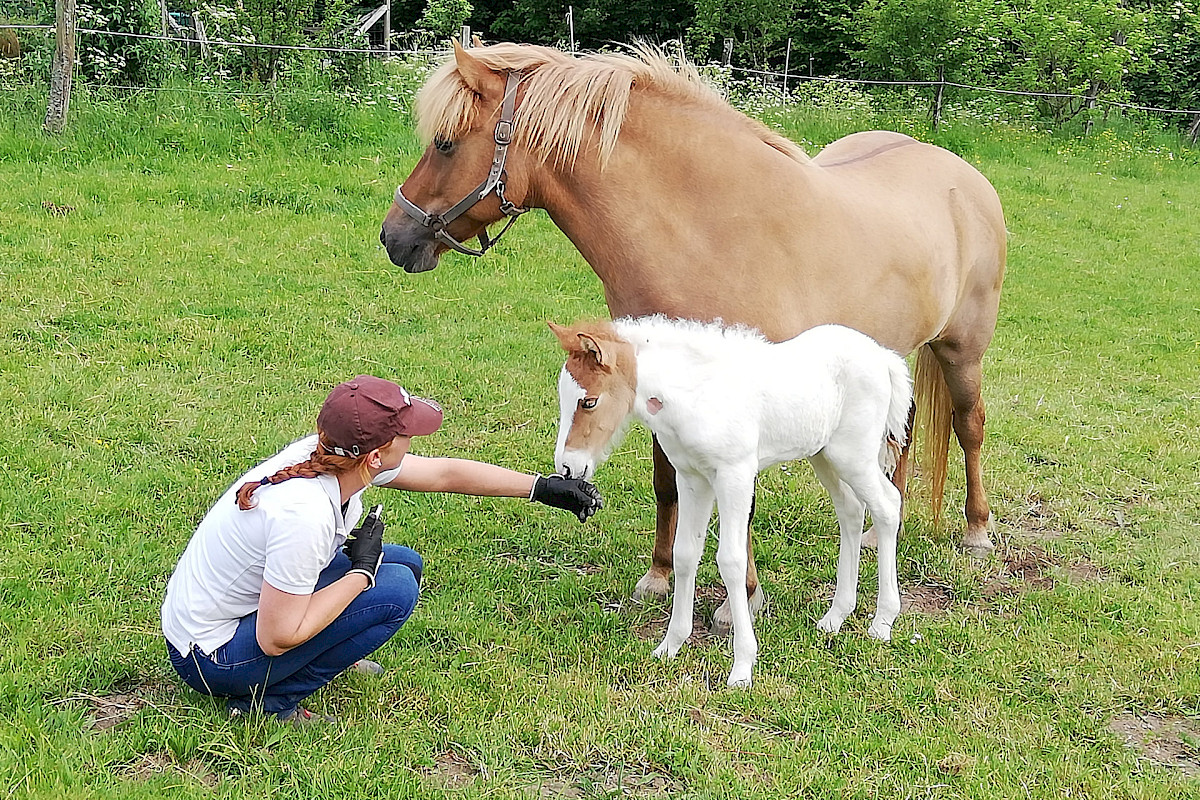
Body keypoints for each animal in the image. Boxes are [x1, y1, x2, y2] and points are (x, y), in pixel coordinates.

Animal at [379, 43, 1008, 633]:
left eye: (444, 143)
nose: (394, 236)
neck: (711, 230)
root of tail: (963, 174)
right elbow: (667, 483)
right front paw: (659, 576)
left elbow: (741, 510)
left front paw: (740, 602)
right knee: (895, 451)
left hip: (962, 352)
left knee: (969, 426)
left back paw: (977, 531)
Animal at [549, 316, 907, 690]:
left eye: (589, 402)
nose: (567, 467)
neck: (696, 393)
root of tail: (883, 357)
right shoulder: (692, 479)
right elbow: (684, 554)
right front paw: (670, 645)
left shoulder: (735, 476)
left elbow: (732, 561)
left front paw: (742, 667)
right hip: (825, 455)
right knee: (851, 509)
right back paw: (835, 616)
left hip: (854, 455)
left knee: (887, 506)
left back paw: (882, 621)